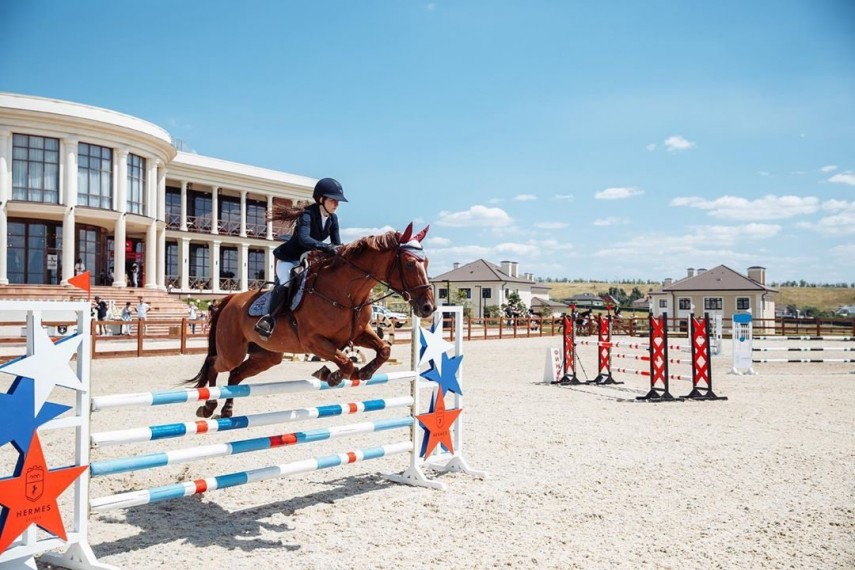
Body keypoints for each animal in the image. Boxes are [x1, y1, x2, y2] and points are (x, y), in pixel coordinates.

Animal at [191, 223, 438, 418]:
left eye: (426, 263)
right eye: (409, 263)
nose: (428, 307)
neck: (347, 294)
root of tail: (230, 300)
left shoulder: (358, 333)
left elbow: (384, 349)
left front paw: (363, 372)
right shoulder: (314, 342)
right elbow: (346, 362)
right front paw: (332, 374)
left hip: (266, 356)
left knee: (236, 374)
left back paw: (227, 410)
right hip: (233, 351)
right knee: (215, 364)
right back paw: (208, 407)